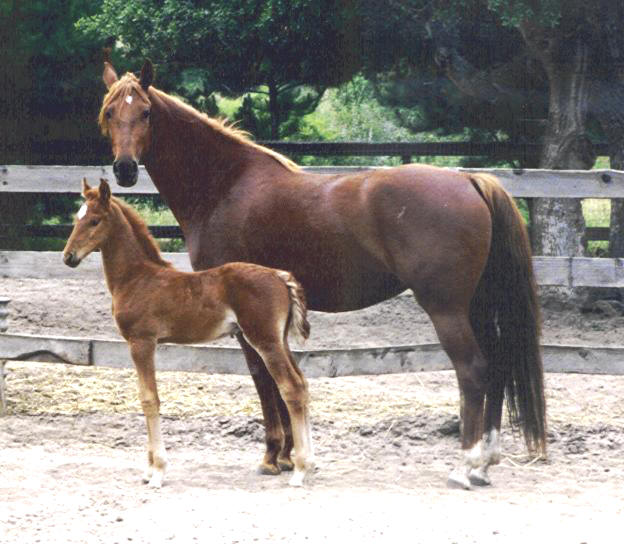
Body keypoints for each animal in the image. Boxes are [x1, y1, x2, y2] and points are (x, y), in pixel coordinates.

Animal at [63, 180, 312, 488]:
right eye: (77, 219)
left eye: (95, 220)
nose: (68, 257)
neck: (137, 278)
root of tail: (280, 276)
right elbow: (146, 397)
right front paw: (148, 471)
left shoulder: (142, 342)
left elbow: (149, 399)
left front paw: (157, 472)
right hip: (280, 340)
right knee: (302, 384)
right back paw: (308, 463)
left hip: (265, 340)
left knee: (291, 388)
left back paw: (299, 471)